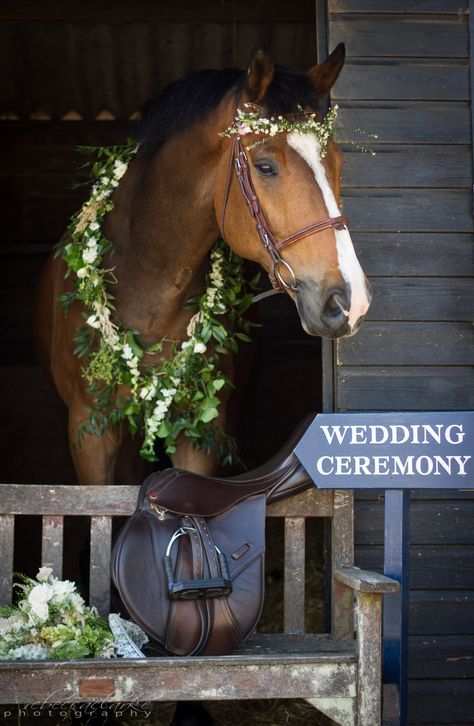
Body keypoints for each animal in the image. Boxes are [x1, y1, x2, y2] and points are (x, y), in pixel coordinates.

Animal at [35, 47, 372, 490]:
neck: (148, 289)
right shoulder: (91, 433)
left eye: (337, 162)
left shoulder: (200, 434)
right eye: (264, 166)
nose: (349, 301)